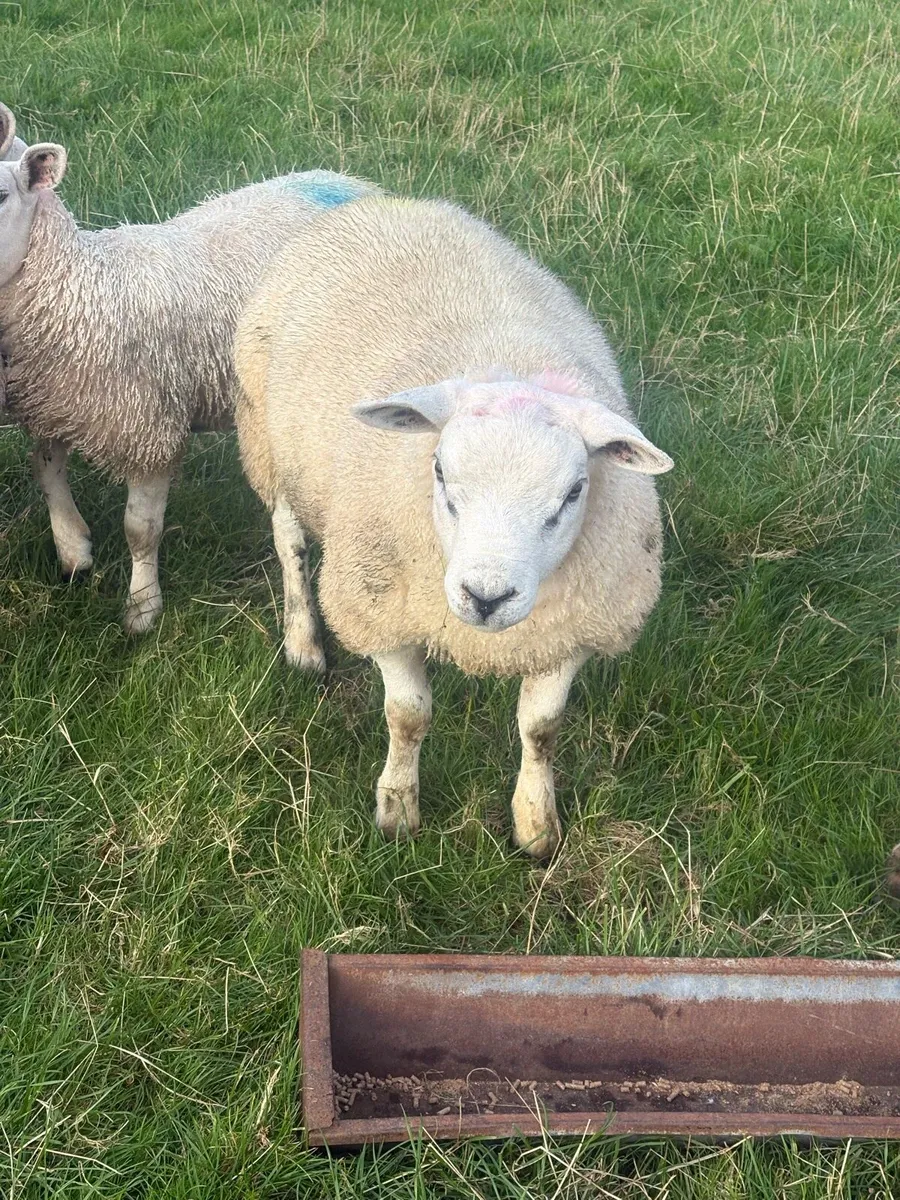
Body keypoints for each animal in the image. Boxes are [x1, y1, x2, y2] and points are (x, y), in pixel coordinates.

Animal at [0, 140, 378, 632]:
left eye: (2, 195)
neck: (79, 289)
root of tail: (352, 183)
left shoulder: (149, 432)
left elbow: (140, 530)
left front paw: (142, 608)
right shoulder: (58, 402)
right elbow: (45, 470)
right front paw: (74, 550)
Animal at [234, 195, 674, 857]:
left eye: (574, 492)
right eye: (439, 472)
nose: (486, 597)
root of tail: (392, 203)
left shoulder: (571, 630)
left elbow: (542, 729)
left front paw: (535, 825)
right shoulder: (382, 609)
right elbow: (408, 715)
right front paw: (397, 809)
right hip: (269, 439)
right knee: (291, 546)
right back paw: (304, 641)